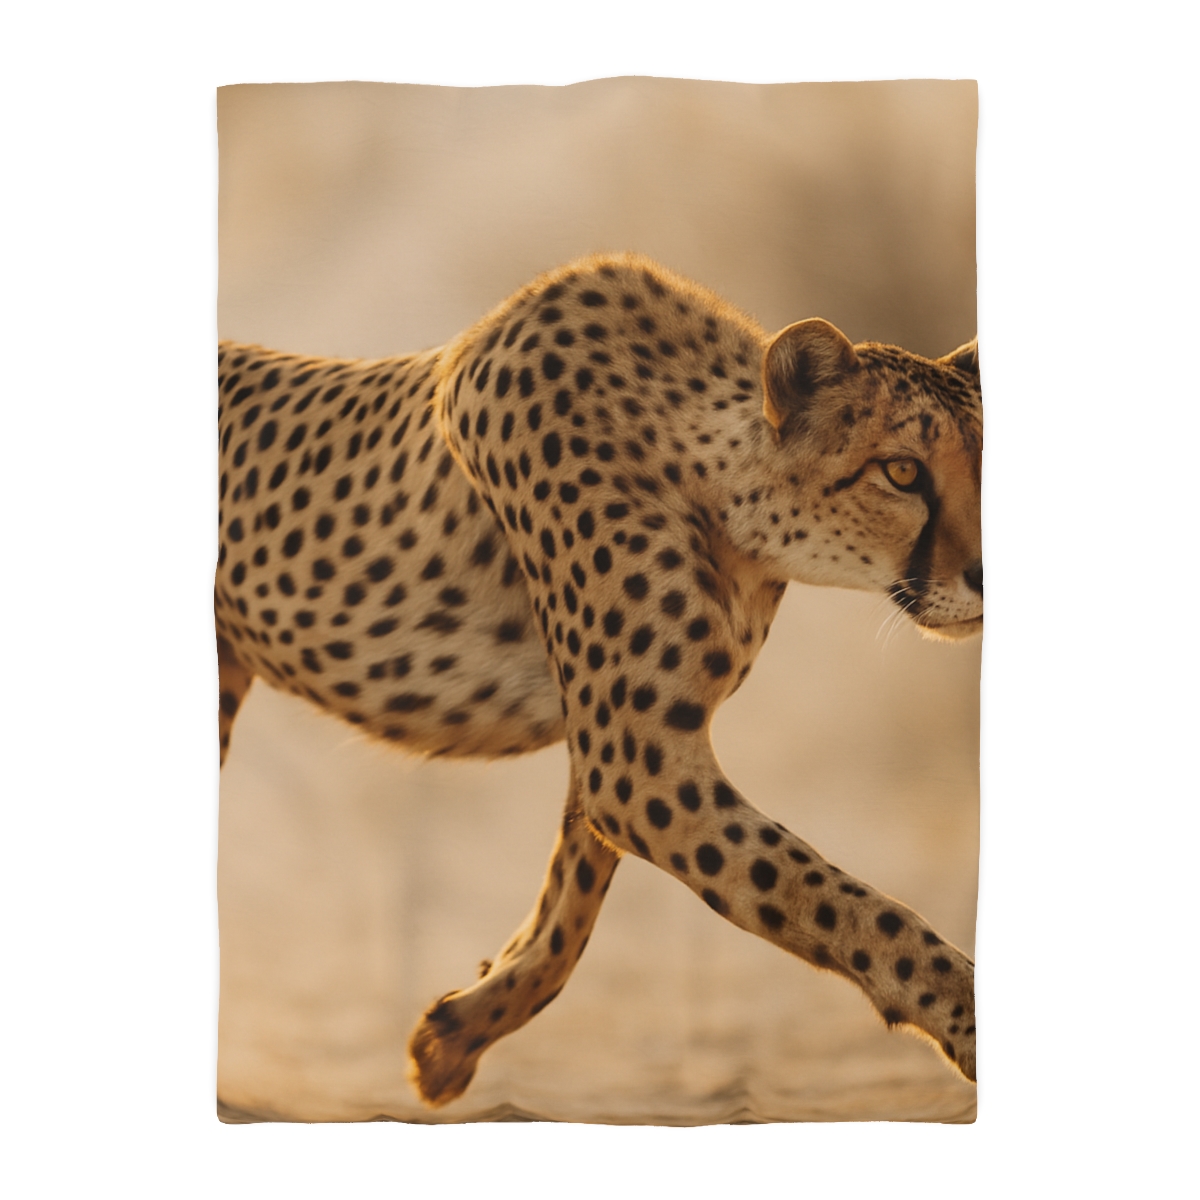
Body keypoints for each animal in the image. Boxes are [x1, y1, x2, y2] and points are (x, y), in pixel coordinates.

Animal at [216, 252, 982, 1108]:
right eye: (902, 472)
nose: (986, 576)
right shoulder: (637, 762)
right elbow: (842, 902)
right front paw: (970, 1020)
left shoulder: (630, 743)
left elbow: (572, 898)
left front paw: (458, 1033)